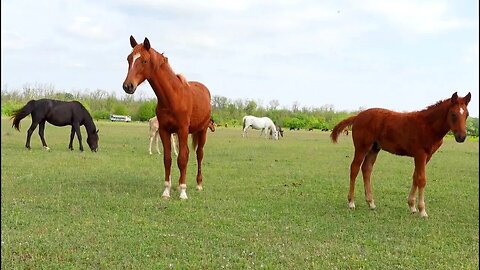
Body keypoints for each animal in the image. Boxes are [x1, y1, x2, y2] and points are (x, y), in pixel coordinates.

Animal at [123, 36, 211, 200]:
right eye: (129, 58)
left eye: (144, 60)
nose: (128, 86)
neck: (173, 97)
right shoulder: (165, 131)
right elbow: (168, 159)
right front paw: (166, 191)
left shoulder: (182, 130)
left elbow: (182, 159)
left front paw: (183, 192)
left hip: (202, 131)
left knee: (199, 155)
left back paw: (198, 184)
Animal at [332, 92, 470, 216]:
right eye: (453, 114)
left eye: (467, 114)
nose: (462, 137)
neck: (428, 125)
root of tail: (358, 116)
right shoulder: (420, 154)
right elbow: (422, 179)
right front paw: (422, 210)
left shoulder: (426, 156)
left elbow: (415, 177)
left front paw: (412, 206)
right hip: (362, 148)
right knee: (354, 168)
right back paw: (351, 202)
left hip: (374, 149)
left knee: (366, 169)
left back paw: (371, 203)